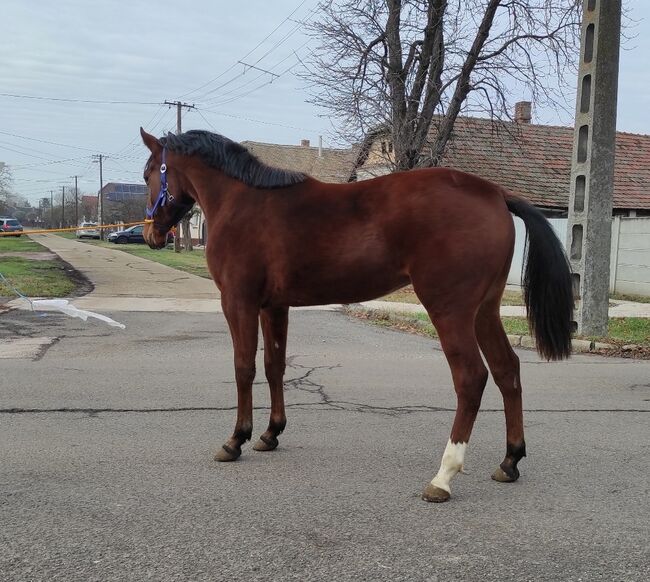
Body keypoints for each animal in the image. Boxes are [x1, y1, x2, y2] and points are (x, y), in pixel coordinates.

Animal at [139, 128, 568, 502]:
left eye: (148, 173)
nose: (151, 234)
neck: (243, 200)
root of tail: (495, 193)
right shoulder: (273, 306)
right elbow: (274, 366)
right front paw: (270, 434)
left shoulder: (238, 302)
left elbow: (243, 367)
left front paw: (235, 440)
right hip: (484, 310)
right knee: (507, 370)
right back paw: (510, 460)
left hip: (450, 310)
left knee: (471, 378)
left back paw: (443, 477)